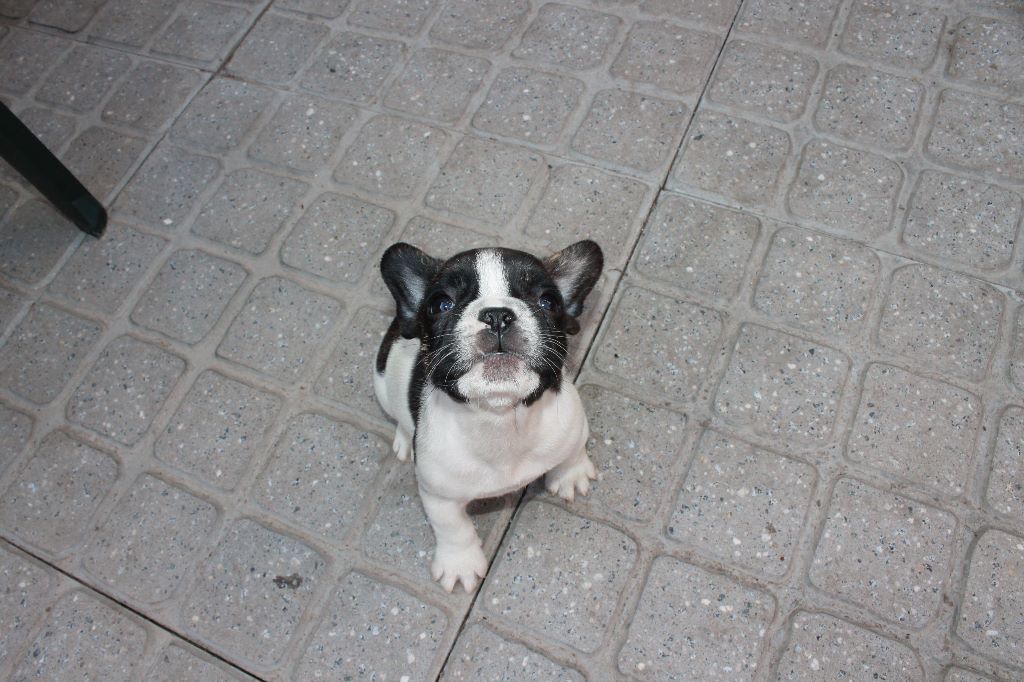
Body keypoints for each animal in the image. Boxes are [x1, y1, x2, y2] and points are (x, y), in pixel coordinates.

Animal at [373, 240, 603, 592]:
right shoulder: (438, 494)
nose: (497, 315)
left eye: (548, 301)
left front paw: (570, 475)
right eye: (441, 304)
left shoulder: (573, 426)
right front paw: (460, 564)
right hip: (383, 383)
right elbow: (453, 528)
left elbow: (573, 452)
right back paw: (402, 438)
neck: (500, 416)